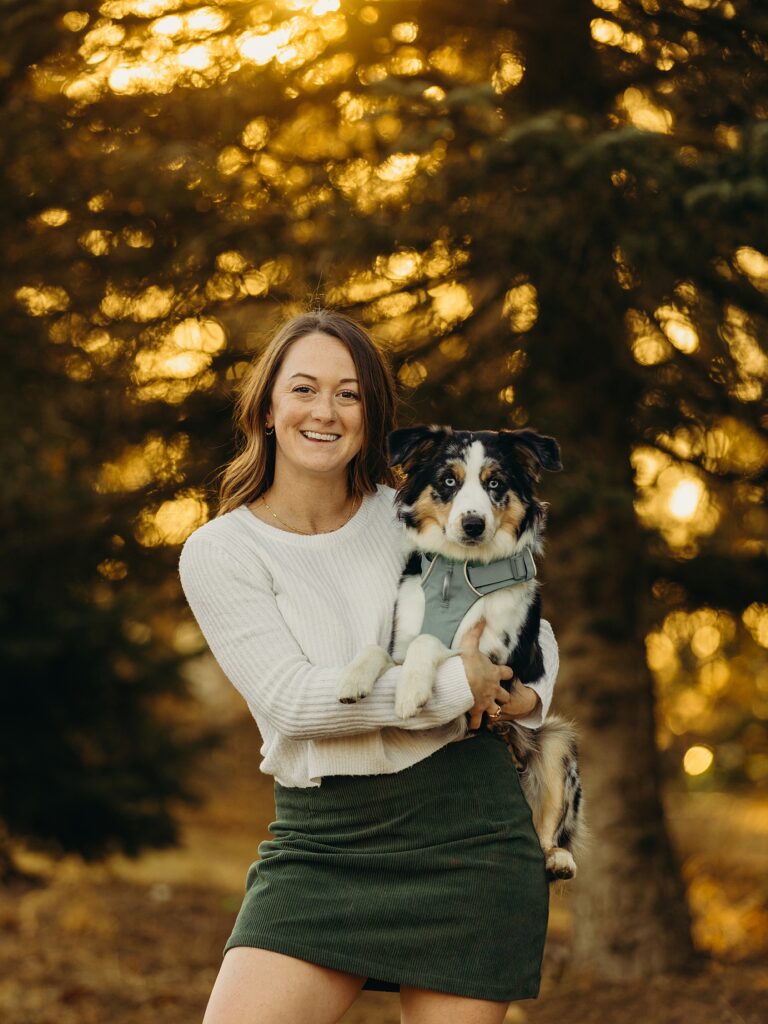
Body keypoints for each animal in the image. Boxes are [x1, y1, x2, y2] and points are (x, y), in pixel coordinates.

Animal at [335, 423, 581, 880]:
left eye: (495, 484)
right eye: (448, 481)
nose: (472, 524)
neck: (459, 570)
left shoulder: (495, 660)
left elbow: (431, 642)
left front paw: (410, 692)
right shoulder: (402, 638)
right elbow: (380, 648)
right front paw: (353, 680)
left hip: (558, 741)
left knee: (545, 832)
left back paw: (558, 859)